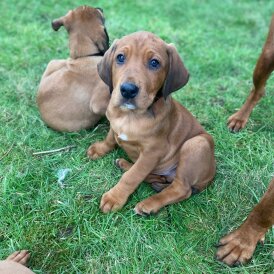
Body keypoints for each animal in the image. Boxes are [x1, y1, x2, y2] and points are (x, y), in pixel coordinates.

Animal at [88, 31, 216, 214]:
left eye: (154, 63)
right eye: (120, 57)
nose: (128, 90)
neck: (129, 116)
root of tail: (212, 174)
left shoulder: (152, 152)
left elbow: (132, 176)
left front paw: (114, 198)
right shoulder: (114, 125)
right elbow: (110, 138)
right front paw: (99, 149)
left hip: (197, 144)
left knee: (181, 188)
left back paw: (149, 204)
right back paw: (125, 164)